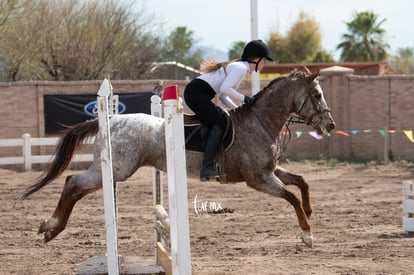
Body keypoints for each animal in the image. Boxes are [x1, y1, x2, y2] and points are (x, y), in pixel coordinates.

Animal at [17, 70, 336, 248]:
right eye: (316, 94)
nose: (330, 125)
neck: (260, 121)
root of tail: (109, 120)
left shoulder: (271, 171)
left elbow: (302, 182)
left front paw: (310, 212)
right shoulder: (259, 179)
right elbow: (291, 197)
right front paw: (307, 235)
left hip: (113, 170)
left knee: (74, 186)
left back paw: (51, 230)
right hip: (116, 170)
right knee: (73, 182)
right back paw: (50, 226)